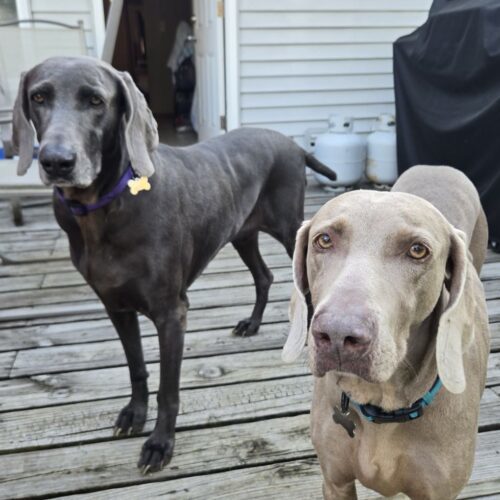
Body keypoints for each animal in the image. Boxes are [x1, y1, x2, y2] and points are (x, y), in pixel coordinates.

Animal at [11, 55, 336, 472]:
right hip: (242, 232)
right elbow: (136, 366)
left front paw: (160, 443)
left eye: (96, 100)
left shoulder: (171, 313)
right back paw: (251, 324)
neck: (102, 210)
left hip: (288, 227)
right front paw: (134, 413)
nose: (56, 161)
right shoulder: (115, 306)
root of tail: (294, 145)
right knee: (263, 276)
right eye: (38, 97)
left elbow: (169, 389)